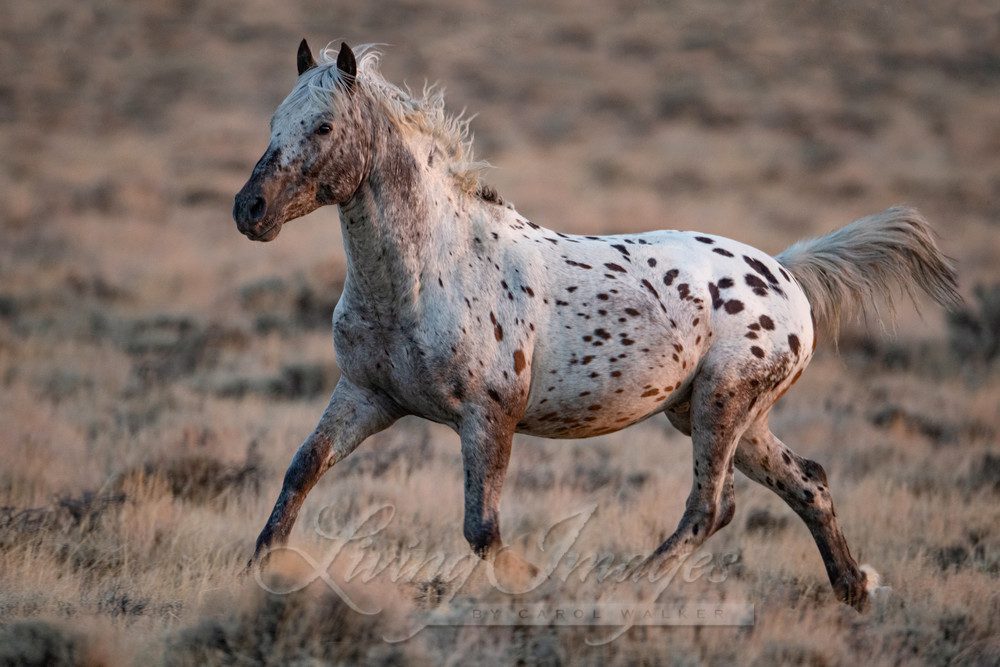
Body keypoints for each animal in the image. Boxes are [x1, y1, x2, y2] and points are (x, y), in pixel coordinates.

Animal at [234, 39, 960, 612]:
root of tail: (785, 273)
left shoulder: (488, 415)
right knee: (808, 482)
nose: (250, 209)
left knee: (710, 507)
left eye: (324, 126)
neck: (427, 273)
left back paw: (631, 586)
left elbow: (482, 528)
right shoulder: (368, 395)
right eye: (272, 120)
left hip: (724, 403)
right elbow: (301, 469)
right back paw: (854, 589)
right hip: (722, 415)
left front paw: (536, 582)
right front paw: (257, 567)